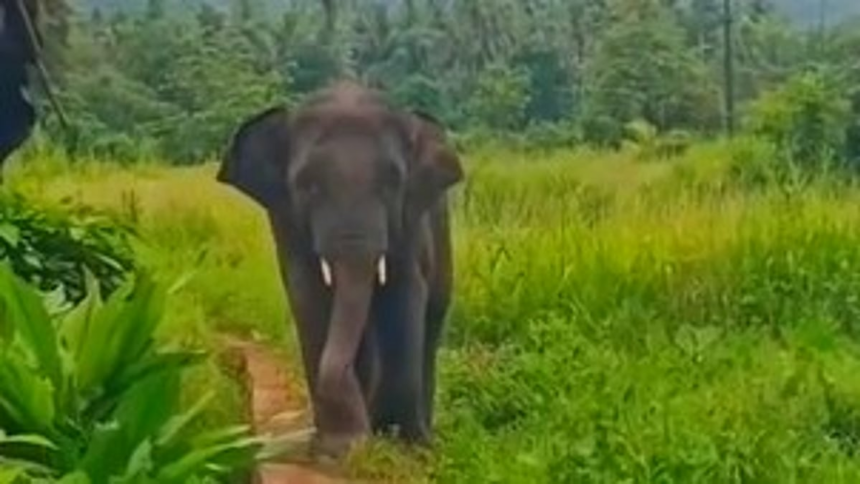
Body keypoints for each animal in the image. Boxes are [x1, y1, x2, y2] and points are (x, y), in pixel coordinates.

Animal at [217, 80, 464, 458]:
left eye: (392, 183)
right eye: (308, 185)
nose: (362, 438)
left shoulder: (411, 222)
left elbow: (404, 294)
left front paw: (404, 445)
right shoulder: (286, 221)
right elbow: (309, 294)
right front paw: (339, 447)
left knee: (431, 319)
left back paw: (419, 435)